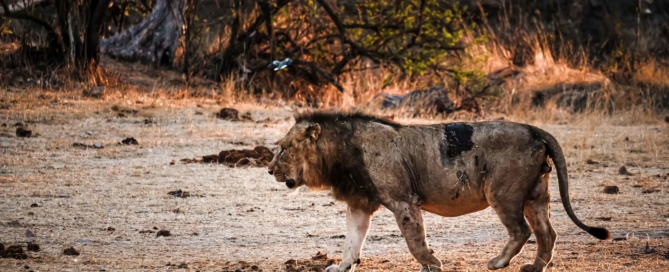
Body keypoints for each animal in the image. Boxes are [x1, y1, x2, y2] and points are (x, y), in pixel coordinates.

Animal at [268, 111, 612, 272]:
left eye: (283, 149)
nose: (269, 170)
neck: (340, 152)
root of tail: (535, 129)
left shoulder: (403, 200)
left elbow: (414, 240)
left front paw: (431, 264)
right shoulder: (359, 203)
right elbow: (352, 242)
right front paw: (340, 266)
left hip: (502, 193)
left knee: (521, 231)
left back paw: (497, 262)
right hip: (535, 195)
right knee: (547, 233)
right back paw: (535, 267)